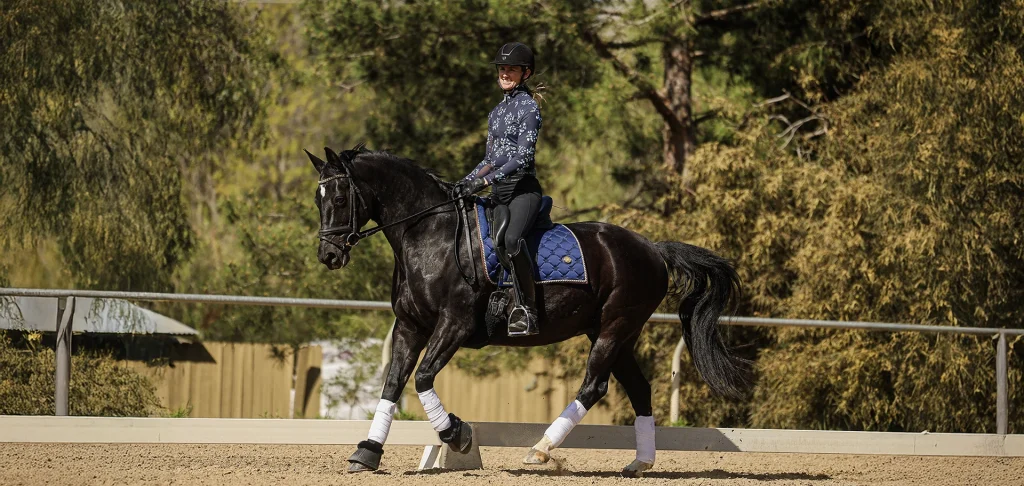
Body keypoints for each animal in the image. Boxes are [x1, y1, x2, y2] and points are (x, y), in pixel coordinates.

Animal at [307, 146, 749, 477]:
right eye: (318, 198)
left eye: (341, 198)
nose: (328, 255)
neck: (429, 235)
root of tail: (653, 249)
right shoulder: (409, 325)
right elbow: (393, 383)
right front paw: (366, 452)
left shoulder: (454, 324)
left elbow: (422, 378)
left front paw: (458, 435)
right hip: (613, 332)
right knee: (638, 388)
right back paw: (639, 463)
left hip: (615, 326)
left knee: (593, 386)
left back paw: (540, 450)